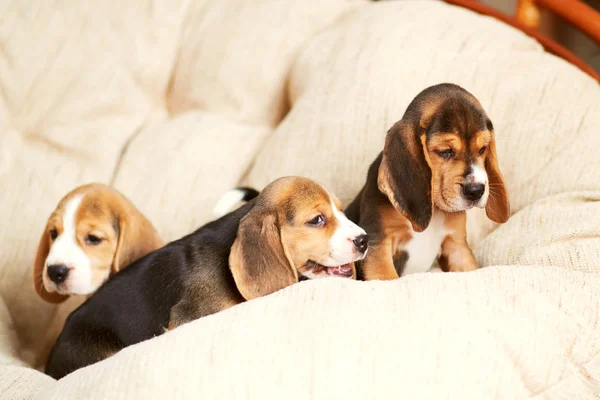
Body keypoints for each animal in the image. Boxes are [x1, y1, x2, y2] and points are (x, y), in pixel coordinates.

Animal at [344, 83, 508, 280]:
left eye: (483, 149)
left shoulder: (456, 244)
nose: (476, 190)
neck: (434, 210)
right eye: (445, 151)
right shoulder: (378, 245)